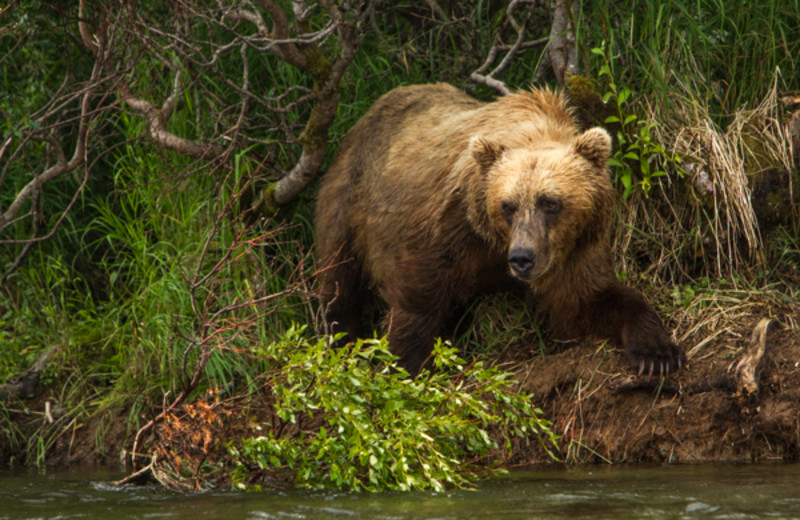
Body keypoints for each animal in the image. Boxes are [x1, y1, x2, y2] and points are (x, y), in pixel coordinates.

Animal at [312, 84, 680, 378]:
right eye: (507, 205)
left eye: (550, 202)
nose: (522, 258)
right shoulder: (450, 226)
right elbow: (419, 297)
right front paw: (408, 363)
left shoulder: (573, 247)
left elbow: (586, 301)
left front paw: (656, 353)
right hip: (349, 195)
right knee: (339, 274)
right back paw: (341, 335)